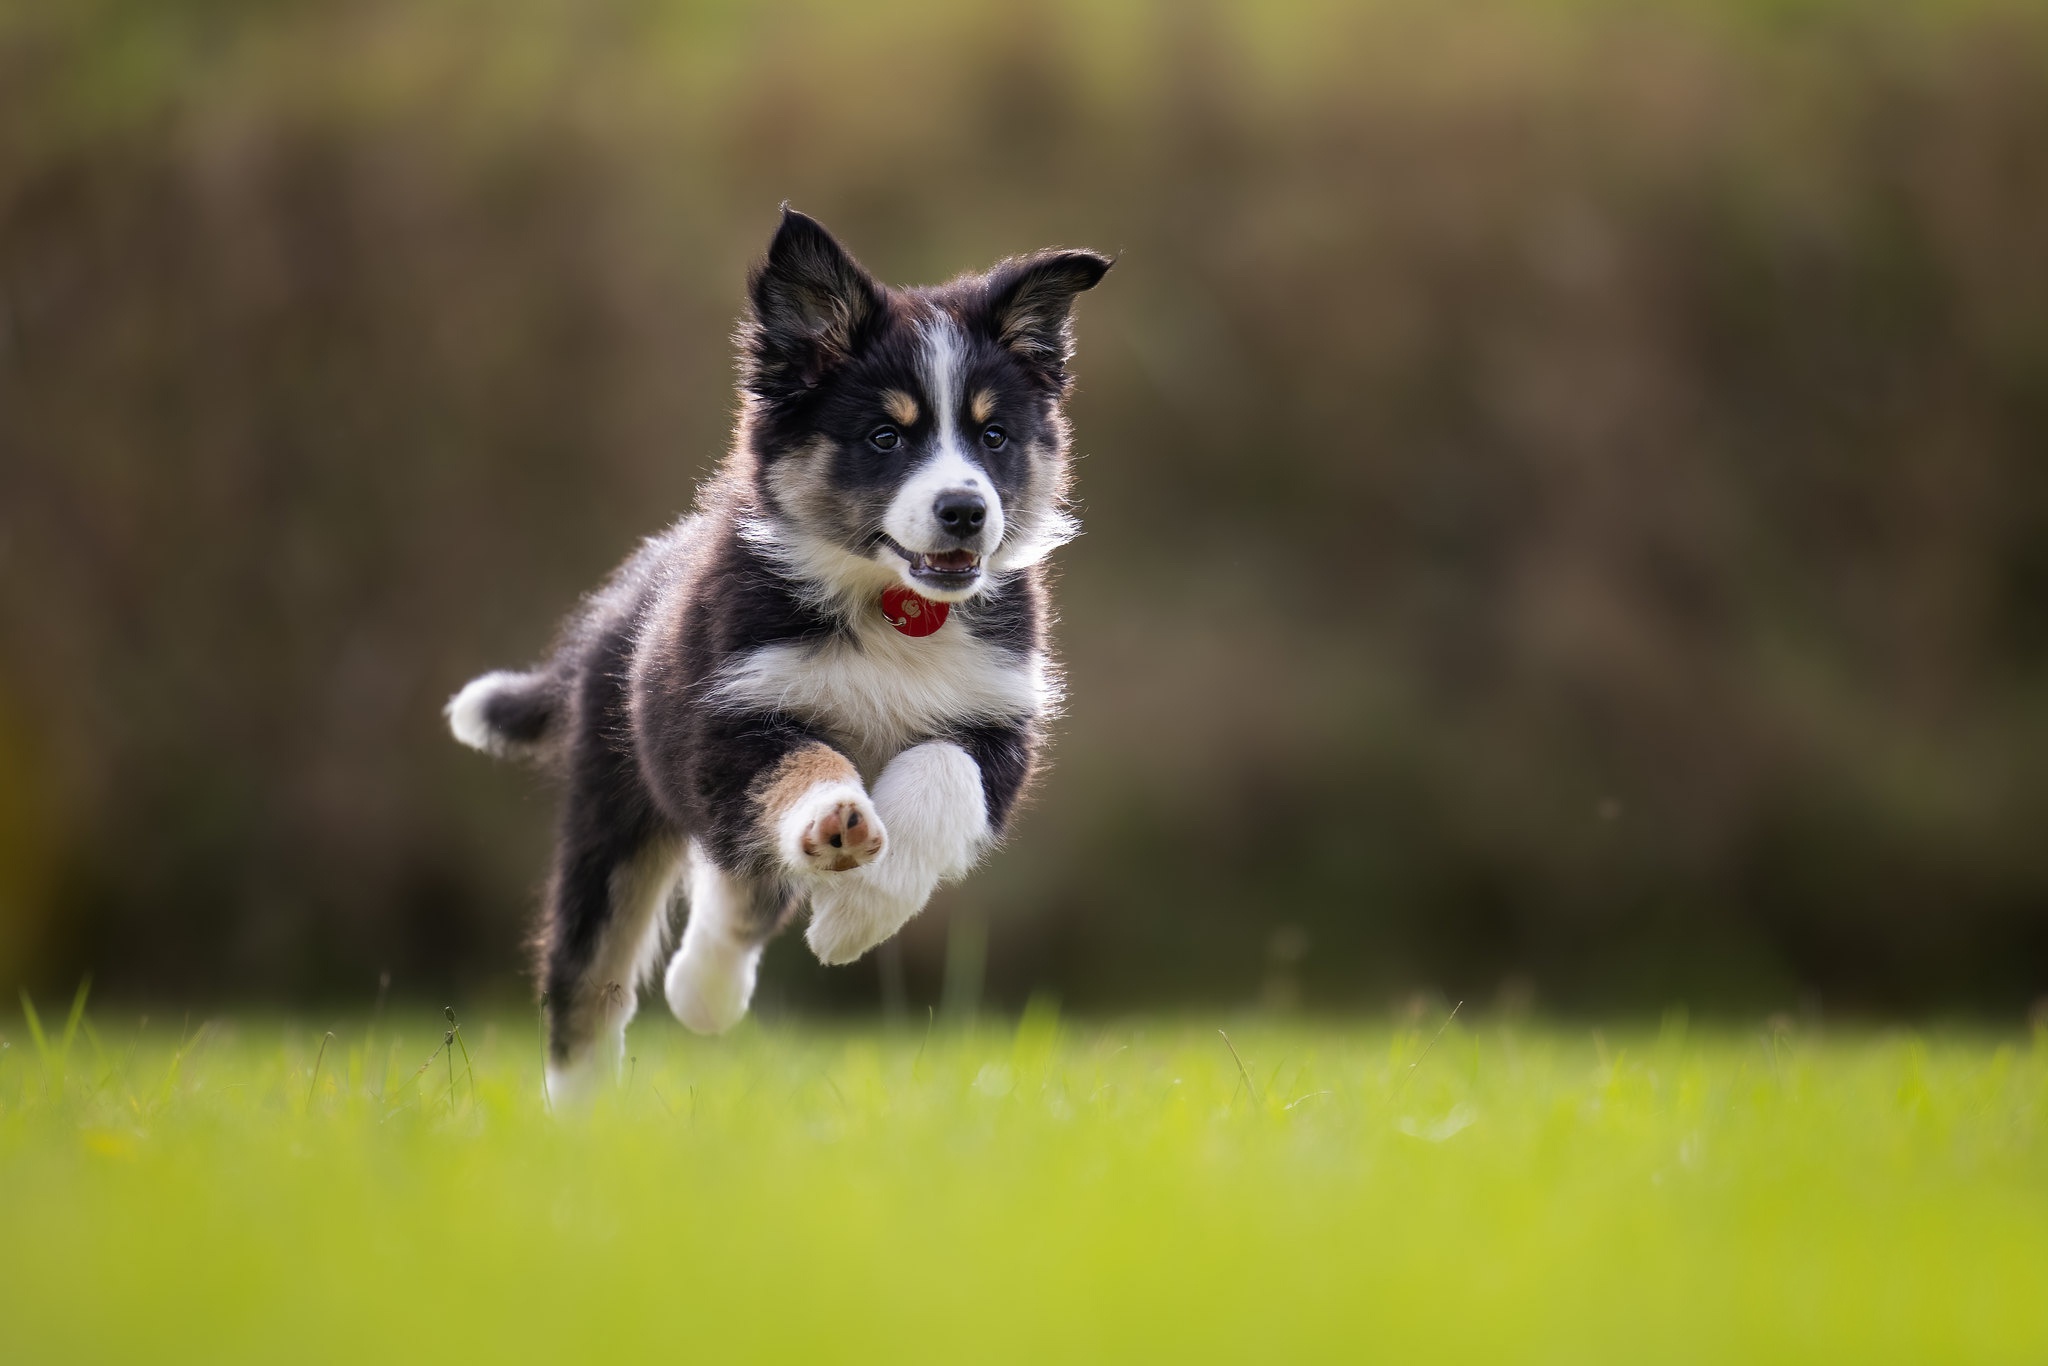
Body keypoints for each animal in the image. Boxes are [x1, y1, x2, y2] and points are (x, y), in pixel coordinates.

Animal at [448, 205, 1114, 1097]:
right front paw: (837, 823)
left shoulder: (1000, 723)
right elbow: (803, 765)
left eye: (995, 435)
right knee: (592, 975)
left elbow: (941, 773)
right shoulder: (731, 717)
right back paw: (584, 1112)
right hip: (612, 804)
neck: (892, 606)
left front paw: (854, 919)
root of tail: (614, 603)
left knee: (738, 888)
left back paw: (702, 993)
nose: (966, 512)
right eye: (884, 437)